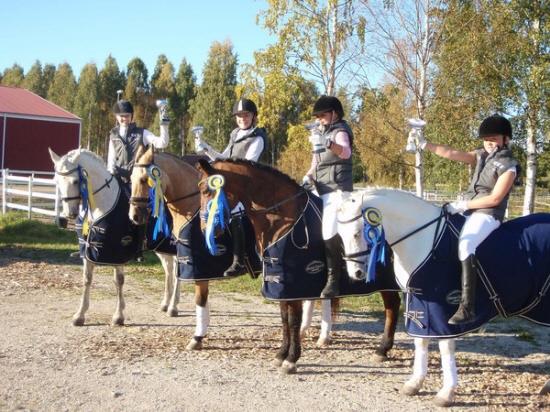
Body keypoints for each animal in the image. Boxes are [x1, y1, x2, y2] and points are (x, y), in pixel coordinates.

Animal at [49, 148, 179, 326]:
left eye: (75, 181)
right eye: (56, 181)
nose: (70, 214)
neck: (103, 204)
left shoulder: (118, 252)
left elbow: (119, 280)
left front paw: (118, 316)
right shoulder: (88, 250)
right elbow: (87, 279)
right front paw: (80, 315)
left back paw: (173, 306)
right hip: (161, 247)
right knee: (168, 270)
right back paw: (166, 303)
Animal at [130, 146, 342, 350]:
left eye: (144, 179)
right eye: (130, 179)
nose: (135, 215)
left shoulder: (198, 270)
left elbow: (200, 300)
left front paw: (197, 337)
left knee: (324, 298)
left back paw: (324, 336)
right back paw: (305, 330)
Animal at [196, 159, 404, 374]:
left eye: (207, 191)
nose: (205, 229)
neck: (282, 218)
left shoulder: (293, 284)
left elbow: (293, 320)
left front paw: (291, 359)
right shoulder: (279, 283)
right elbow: (284, 318)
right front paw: (281, 354)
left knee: (392, 306)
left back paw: (382, 349)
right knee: (392, 306)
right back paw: (382, 350)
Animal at [336, 188, 550, 408]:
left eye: (356, 233)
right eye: (340, 234)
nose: (356, 273)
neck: (424, 238)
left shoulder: (441, 309)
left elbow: (445, 347)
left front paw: (446, 393)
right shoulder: (419, 303)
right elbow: (420, 342)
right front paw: (414, 383)